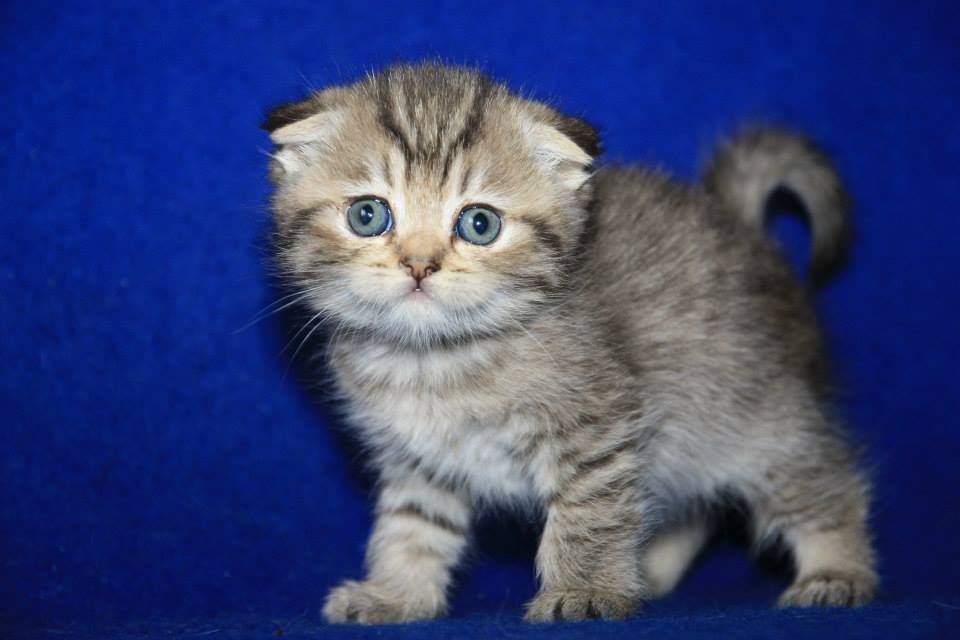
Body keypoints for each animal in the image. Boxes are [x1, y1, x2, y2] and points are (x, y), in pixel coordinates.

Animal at [262, 62, 876, 624]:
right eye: (368, 215)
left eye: (479, 224)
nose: (419, 264)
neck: (436, 360)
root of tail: (741, 228)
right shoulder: (418, 458)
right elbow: (414, 526)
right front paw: (397, 594)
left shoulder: (599, 427)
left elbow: (589, 514)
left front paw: (585, 590)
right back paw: (648, 571)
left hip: (763, 421)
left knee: (826, 482)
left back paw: (836, 572)